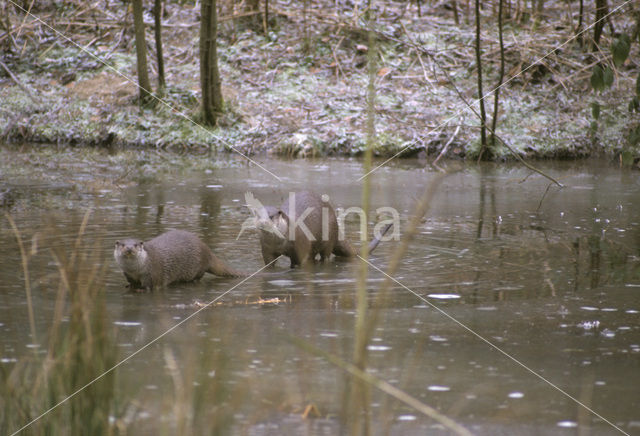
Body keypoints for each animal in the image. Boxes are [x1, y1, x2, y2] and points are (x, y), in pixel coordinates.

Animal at [112, 230, 242, 292]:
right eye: (122, 245)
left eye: (135, 245)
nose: (129, 248)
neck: (135, 270)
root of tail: (207, 250)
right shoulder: (128, 274)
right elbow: (131, 283)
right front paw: (130, 286)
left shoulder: (152, 274)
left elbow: (150, 286)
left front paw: (141, 289)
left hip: (197, 267)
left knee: (198, 277)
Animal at [254, 192, 390, 268]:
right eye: (258, 215)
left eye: (271, 216)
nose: (263, 222)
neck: (280, 243)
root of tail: (337, 226)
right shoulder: (267, 249)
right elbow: (268, 263)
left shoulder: (301, 245)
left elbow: (301, 261)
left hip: (329, 237)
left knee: (325, 256)